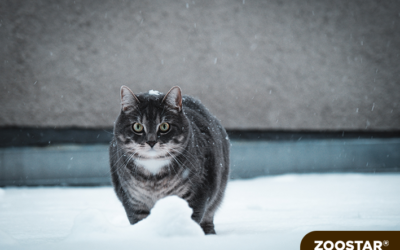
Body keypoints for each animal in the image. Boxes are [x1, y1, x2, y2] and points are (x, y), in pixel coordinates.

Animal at [109, 85, 230, 234]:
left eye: (164, 126)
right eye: (137, 126)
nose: (151, 141)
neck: (153, 176)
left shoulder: (196, 194)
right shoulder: (133, 200)